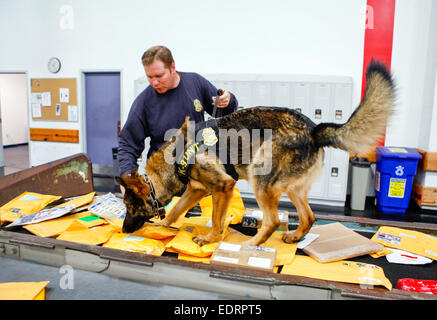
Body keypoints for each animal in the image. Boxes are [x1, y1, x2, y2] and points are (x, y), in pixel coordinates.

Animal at [116, 59, 396, 248]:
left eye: (129, 206)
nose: (123, 230)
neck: (175, 158)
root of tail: (314, 129)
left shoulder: (222, 187)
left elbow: (217, 220)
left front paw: (210, 238)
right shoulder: (196, 190)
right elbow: (176, 210)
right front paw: (164, 225)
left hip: (260, 177)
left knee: (271, 221)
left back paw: (249, 246)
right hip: (292, 189)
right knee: (309, 216)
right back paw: (294, 236)